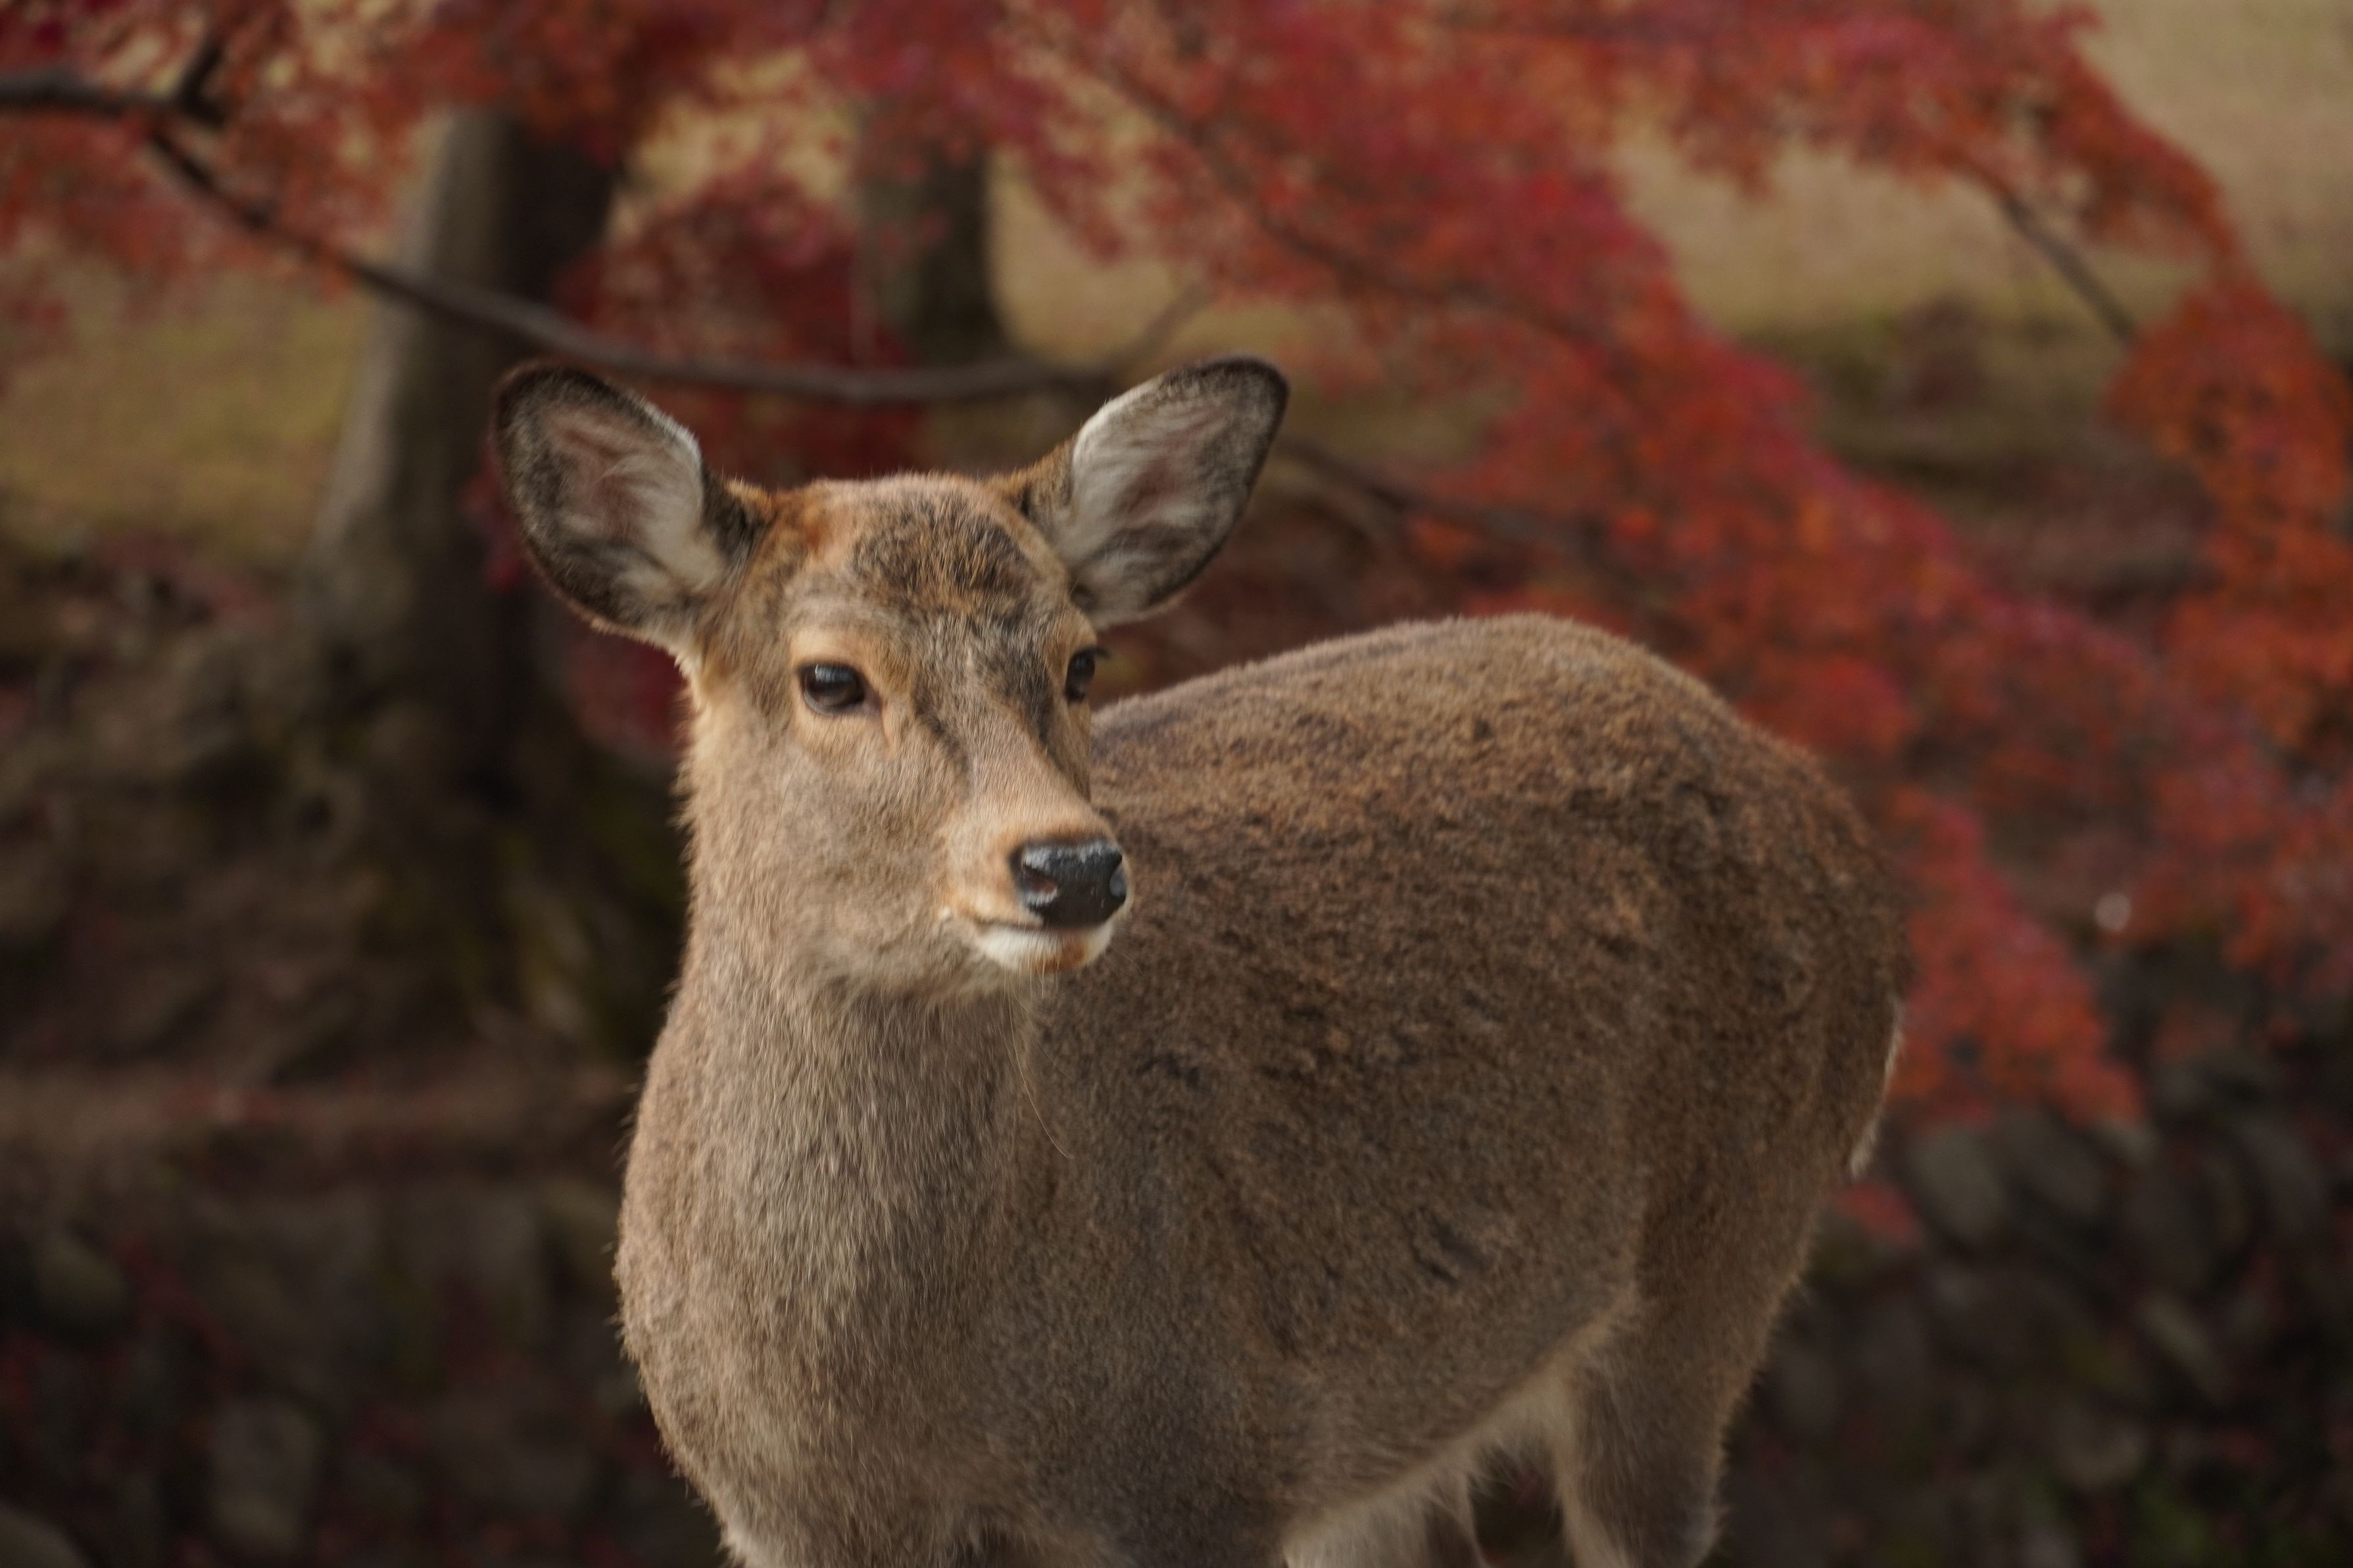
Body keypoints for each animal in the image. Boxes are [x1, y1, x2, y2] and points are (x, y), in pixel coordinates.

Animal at [492, 354, 1909, 1568]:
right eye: (830, 677)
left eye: (1081, 659)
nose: (1069, 867)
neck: (890, 1429)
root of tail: (1845, 846)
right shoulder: (772, 1520)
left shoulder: (1202, 1469)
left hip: (1720, 1256)